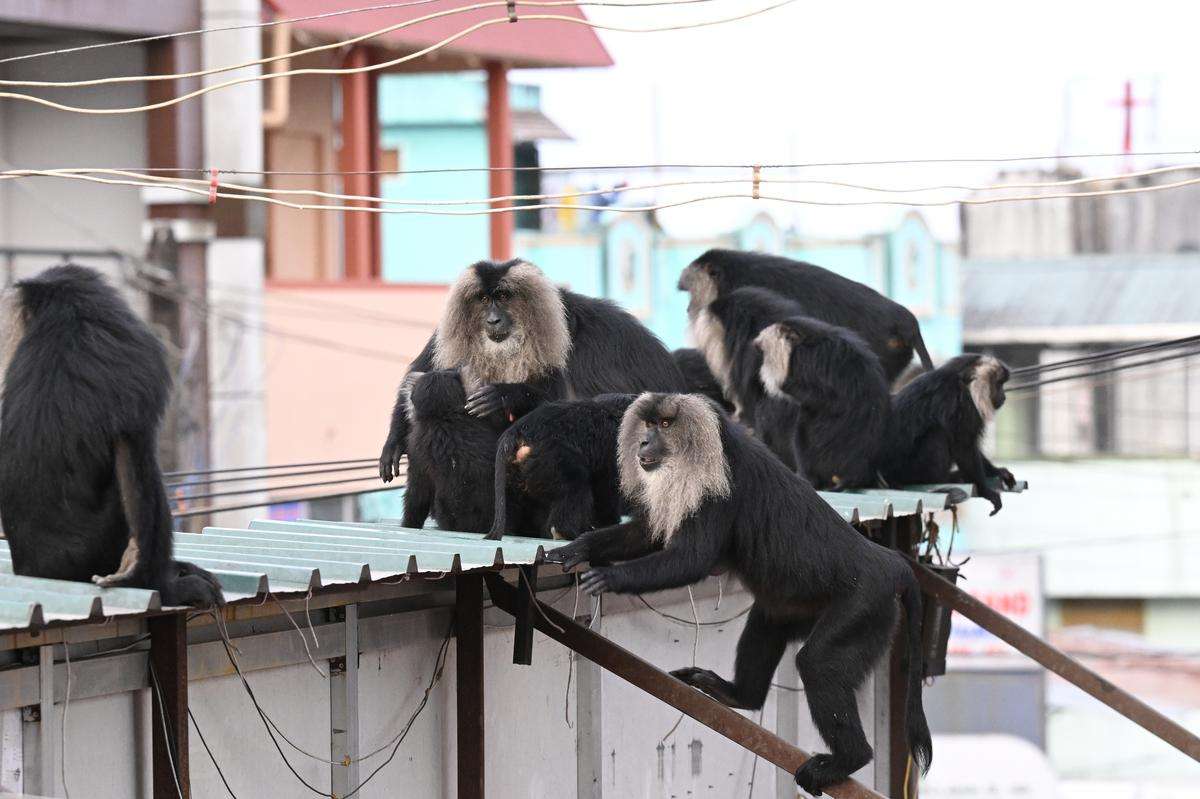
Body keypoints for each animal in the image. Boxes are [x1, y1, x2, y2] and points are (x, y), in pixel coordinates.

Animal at [379, 259, 686, 483]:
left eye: (504, 296)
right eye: (483, 299)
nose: (492, 320)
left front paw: (507, 395)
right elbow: (420, 377)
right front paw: (394, 441)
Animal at [545, 393, 932, 794]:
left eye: (665, 425)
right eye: (648, 425)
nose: (644, 443)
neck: (711, 445)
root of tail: (888, 562)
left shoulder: (716, 490)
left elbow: (691, 559)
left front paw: (609, 576)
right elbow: (647, 534)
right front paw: (578, 548)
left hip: (865, 606)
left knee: (818, 663)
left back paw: (849, 759)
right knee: (766, 624)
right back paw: (738, 695)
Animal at [877, 354, 1017, 515]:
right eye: (999, 384)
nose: (1004, 397)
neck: (963, 383)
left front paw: (996, 471)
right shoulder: (962, 403)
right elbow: (963, 447)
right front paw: (985, 492)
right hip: (909, 469)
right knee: (937, 434)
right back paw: (944, 478)